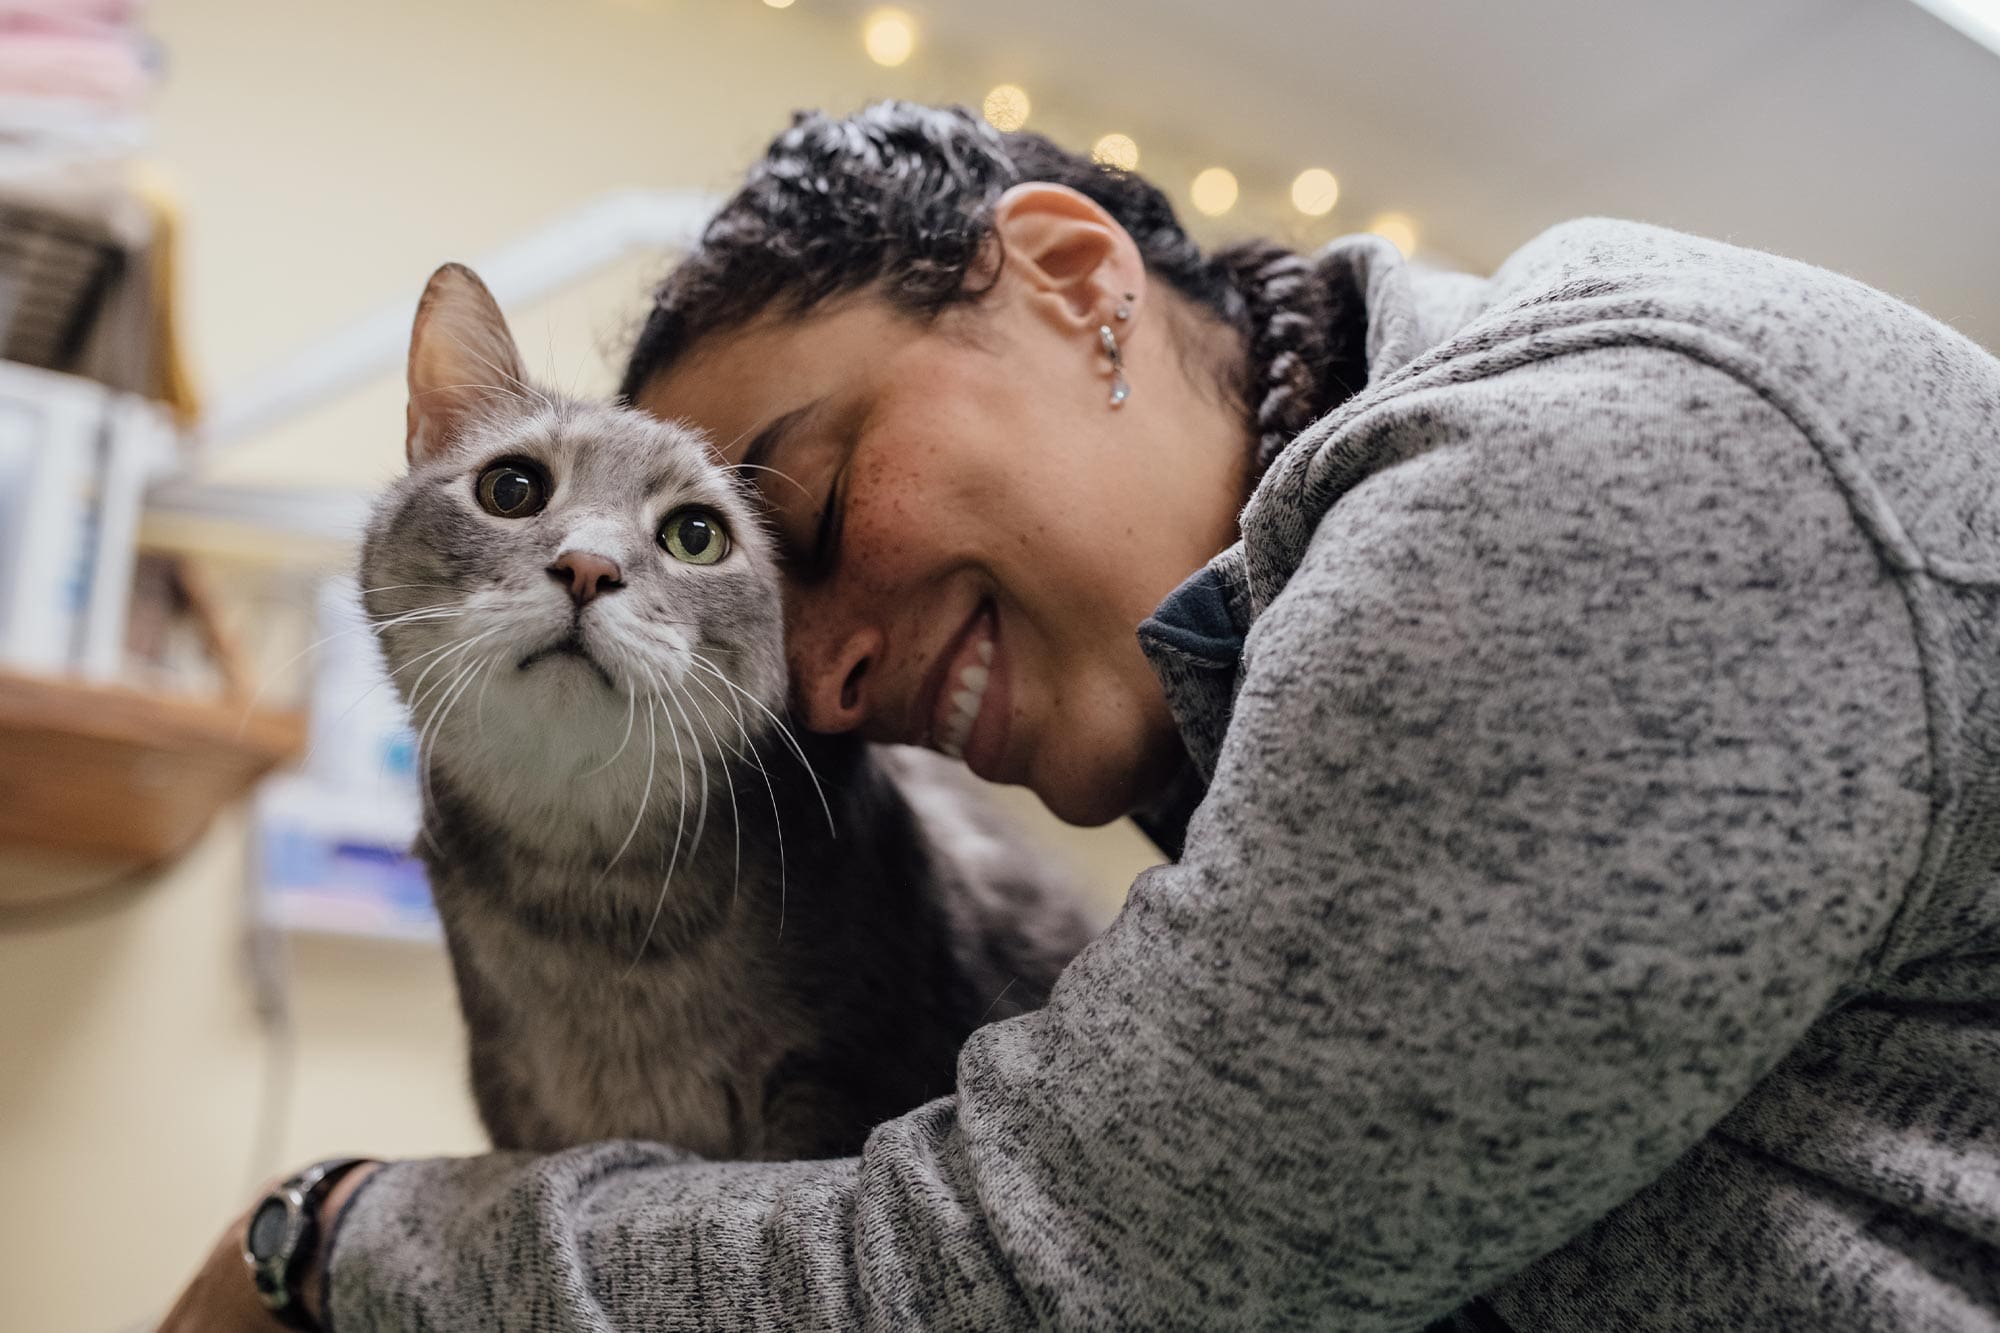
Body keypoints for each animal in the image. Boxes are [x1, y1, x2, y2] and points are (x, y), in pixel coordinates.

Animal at [368, 262, 1104, 1152]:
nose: (587, 567)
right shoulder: (515, 1105)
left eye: (696, 535)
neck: (593, 901)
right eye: (511, 488)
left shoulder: (839, 1081)